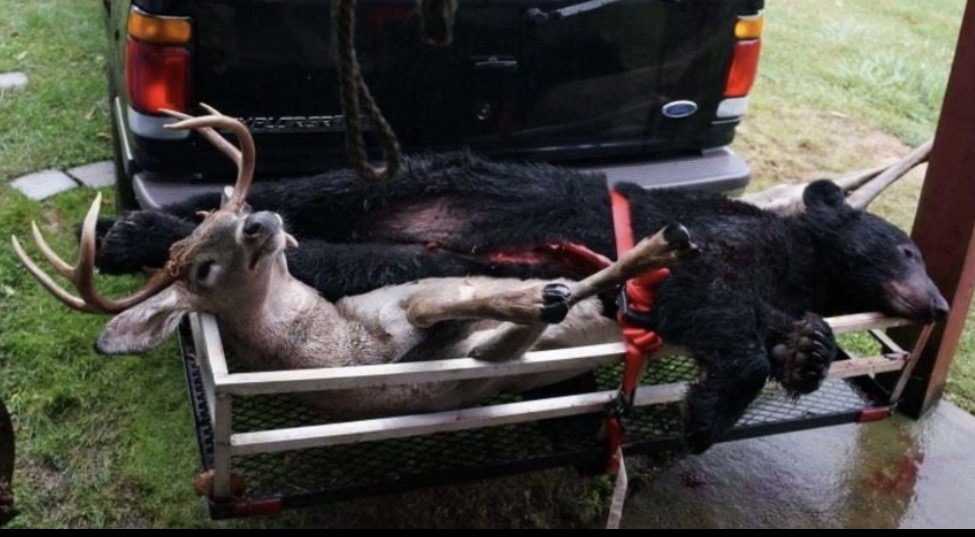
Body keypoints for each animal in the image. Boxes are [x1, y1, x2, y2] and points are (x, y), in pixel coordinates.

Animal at [91, 151, 944, 452]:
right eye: (908, 249)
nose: (938, 305)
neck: (794, 254)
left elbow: (768, 326)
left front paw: (804, 349)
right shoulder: (700, 245)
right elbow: (710, 303)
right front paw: (708, 413)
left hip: (405, 244)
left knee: (318, 239)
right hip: (404, 183)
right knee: (288, 199)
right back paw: (135, 229)